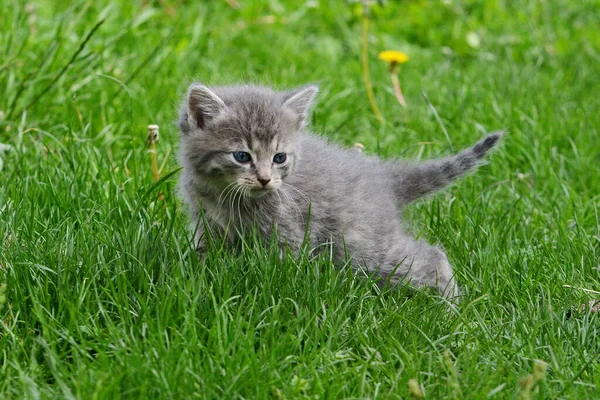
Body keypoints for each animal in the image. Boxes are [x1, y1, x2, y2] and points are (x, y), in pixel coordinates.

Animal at [177, 83, 502, 298]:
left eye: (279, 157)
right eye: (242, 156)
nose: (265, 180)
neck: (227, 198)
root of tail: (383, 178)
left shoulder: (288, 231)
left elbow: (279, 268)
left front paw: (270, 289)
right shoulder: (207, 223)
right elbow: (205, 256)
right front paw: (201, 280)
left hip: (362, 247)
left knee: (429, 257)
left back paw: (452, 307)